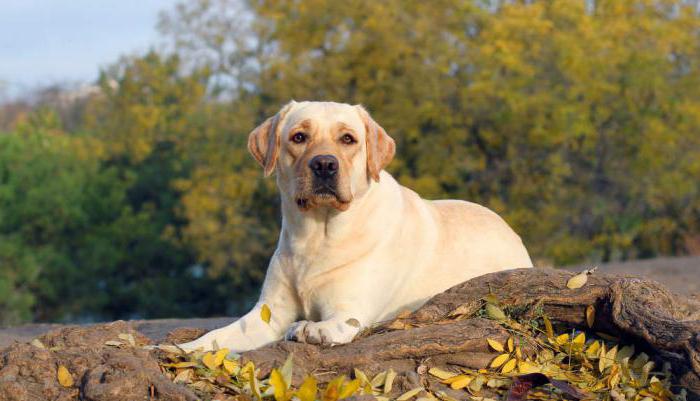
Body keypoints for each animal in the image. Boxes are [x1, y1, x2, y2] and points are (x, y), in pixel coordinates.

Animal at [179, 100, 532, 350]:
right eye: (298, 137)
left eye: (348, 139)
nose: (324, 164)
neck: (316, 236)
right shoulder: (268, 315)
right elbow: (215, 339)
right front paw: (180, 350)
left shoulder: (350, 308)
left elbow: (332, 323)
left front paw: (310, 329)